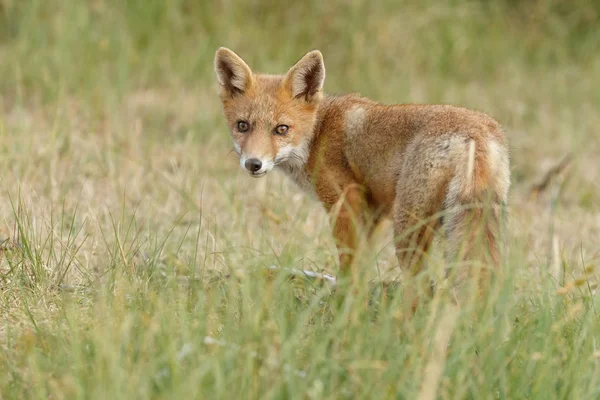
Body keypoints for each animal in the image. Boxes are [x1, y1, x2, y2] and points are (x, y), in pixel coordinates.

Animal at [216, 47, 510, 296]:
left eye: (281, 129)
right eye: (242, 126)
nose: (253, 164)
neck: (317, 135)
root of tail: (475, 132)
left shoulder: (345, 202)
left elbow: (348, 266)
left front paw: (342, 308)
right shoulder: (373, 214)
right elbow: (362, 268)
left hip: (407, 227)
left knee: (422, 288)